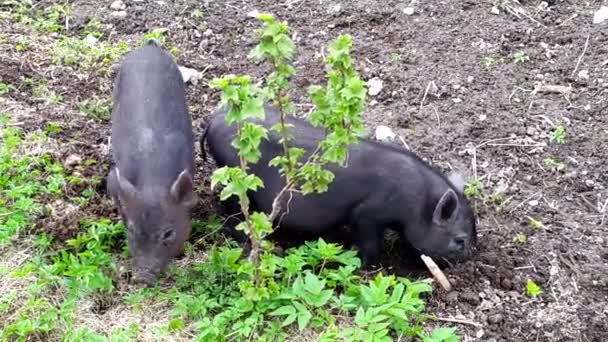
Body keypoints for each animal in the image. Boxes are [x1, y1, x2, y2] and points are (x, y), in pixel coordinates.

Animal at [107, 40, 196, 286]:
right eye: (132, 230)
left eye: (168, 233)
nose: (142, 278)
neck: (154, 181)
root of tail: (149, 45)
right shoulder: (114, 179)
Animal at [202, 103, 478, 266]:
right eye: (460, 240)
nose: (472, 256)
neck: (417, 204)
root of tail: (212, 118)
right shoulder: (366, 215)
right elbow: (369, 243)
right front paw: (371, 266)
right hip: (236, 181)